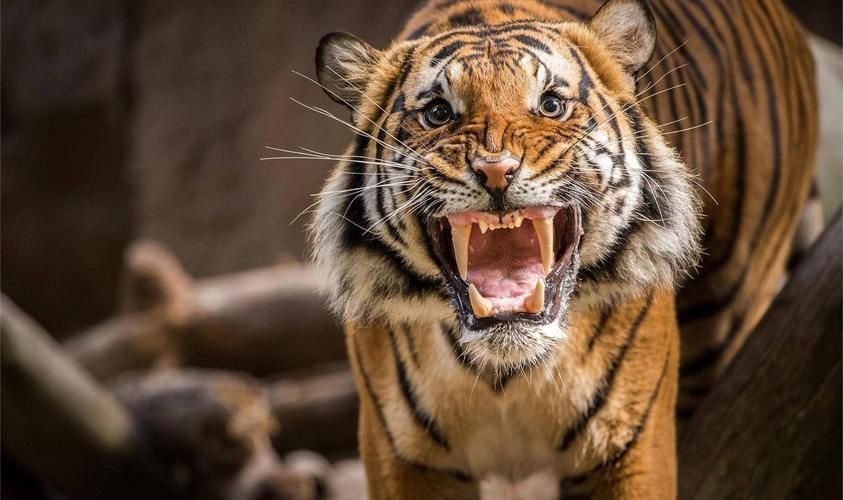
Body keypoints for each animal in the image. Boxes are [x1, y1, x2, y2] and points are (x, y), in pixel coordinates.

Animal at [308, 0, 817, 497]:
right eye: (438, 113)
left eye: (550, 104)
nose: (496, 170)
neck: (504, 371)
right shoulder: (403, 460)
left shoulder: (631, 449)